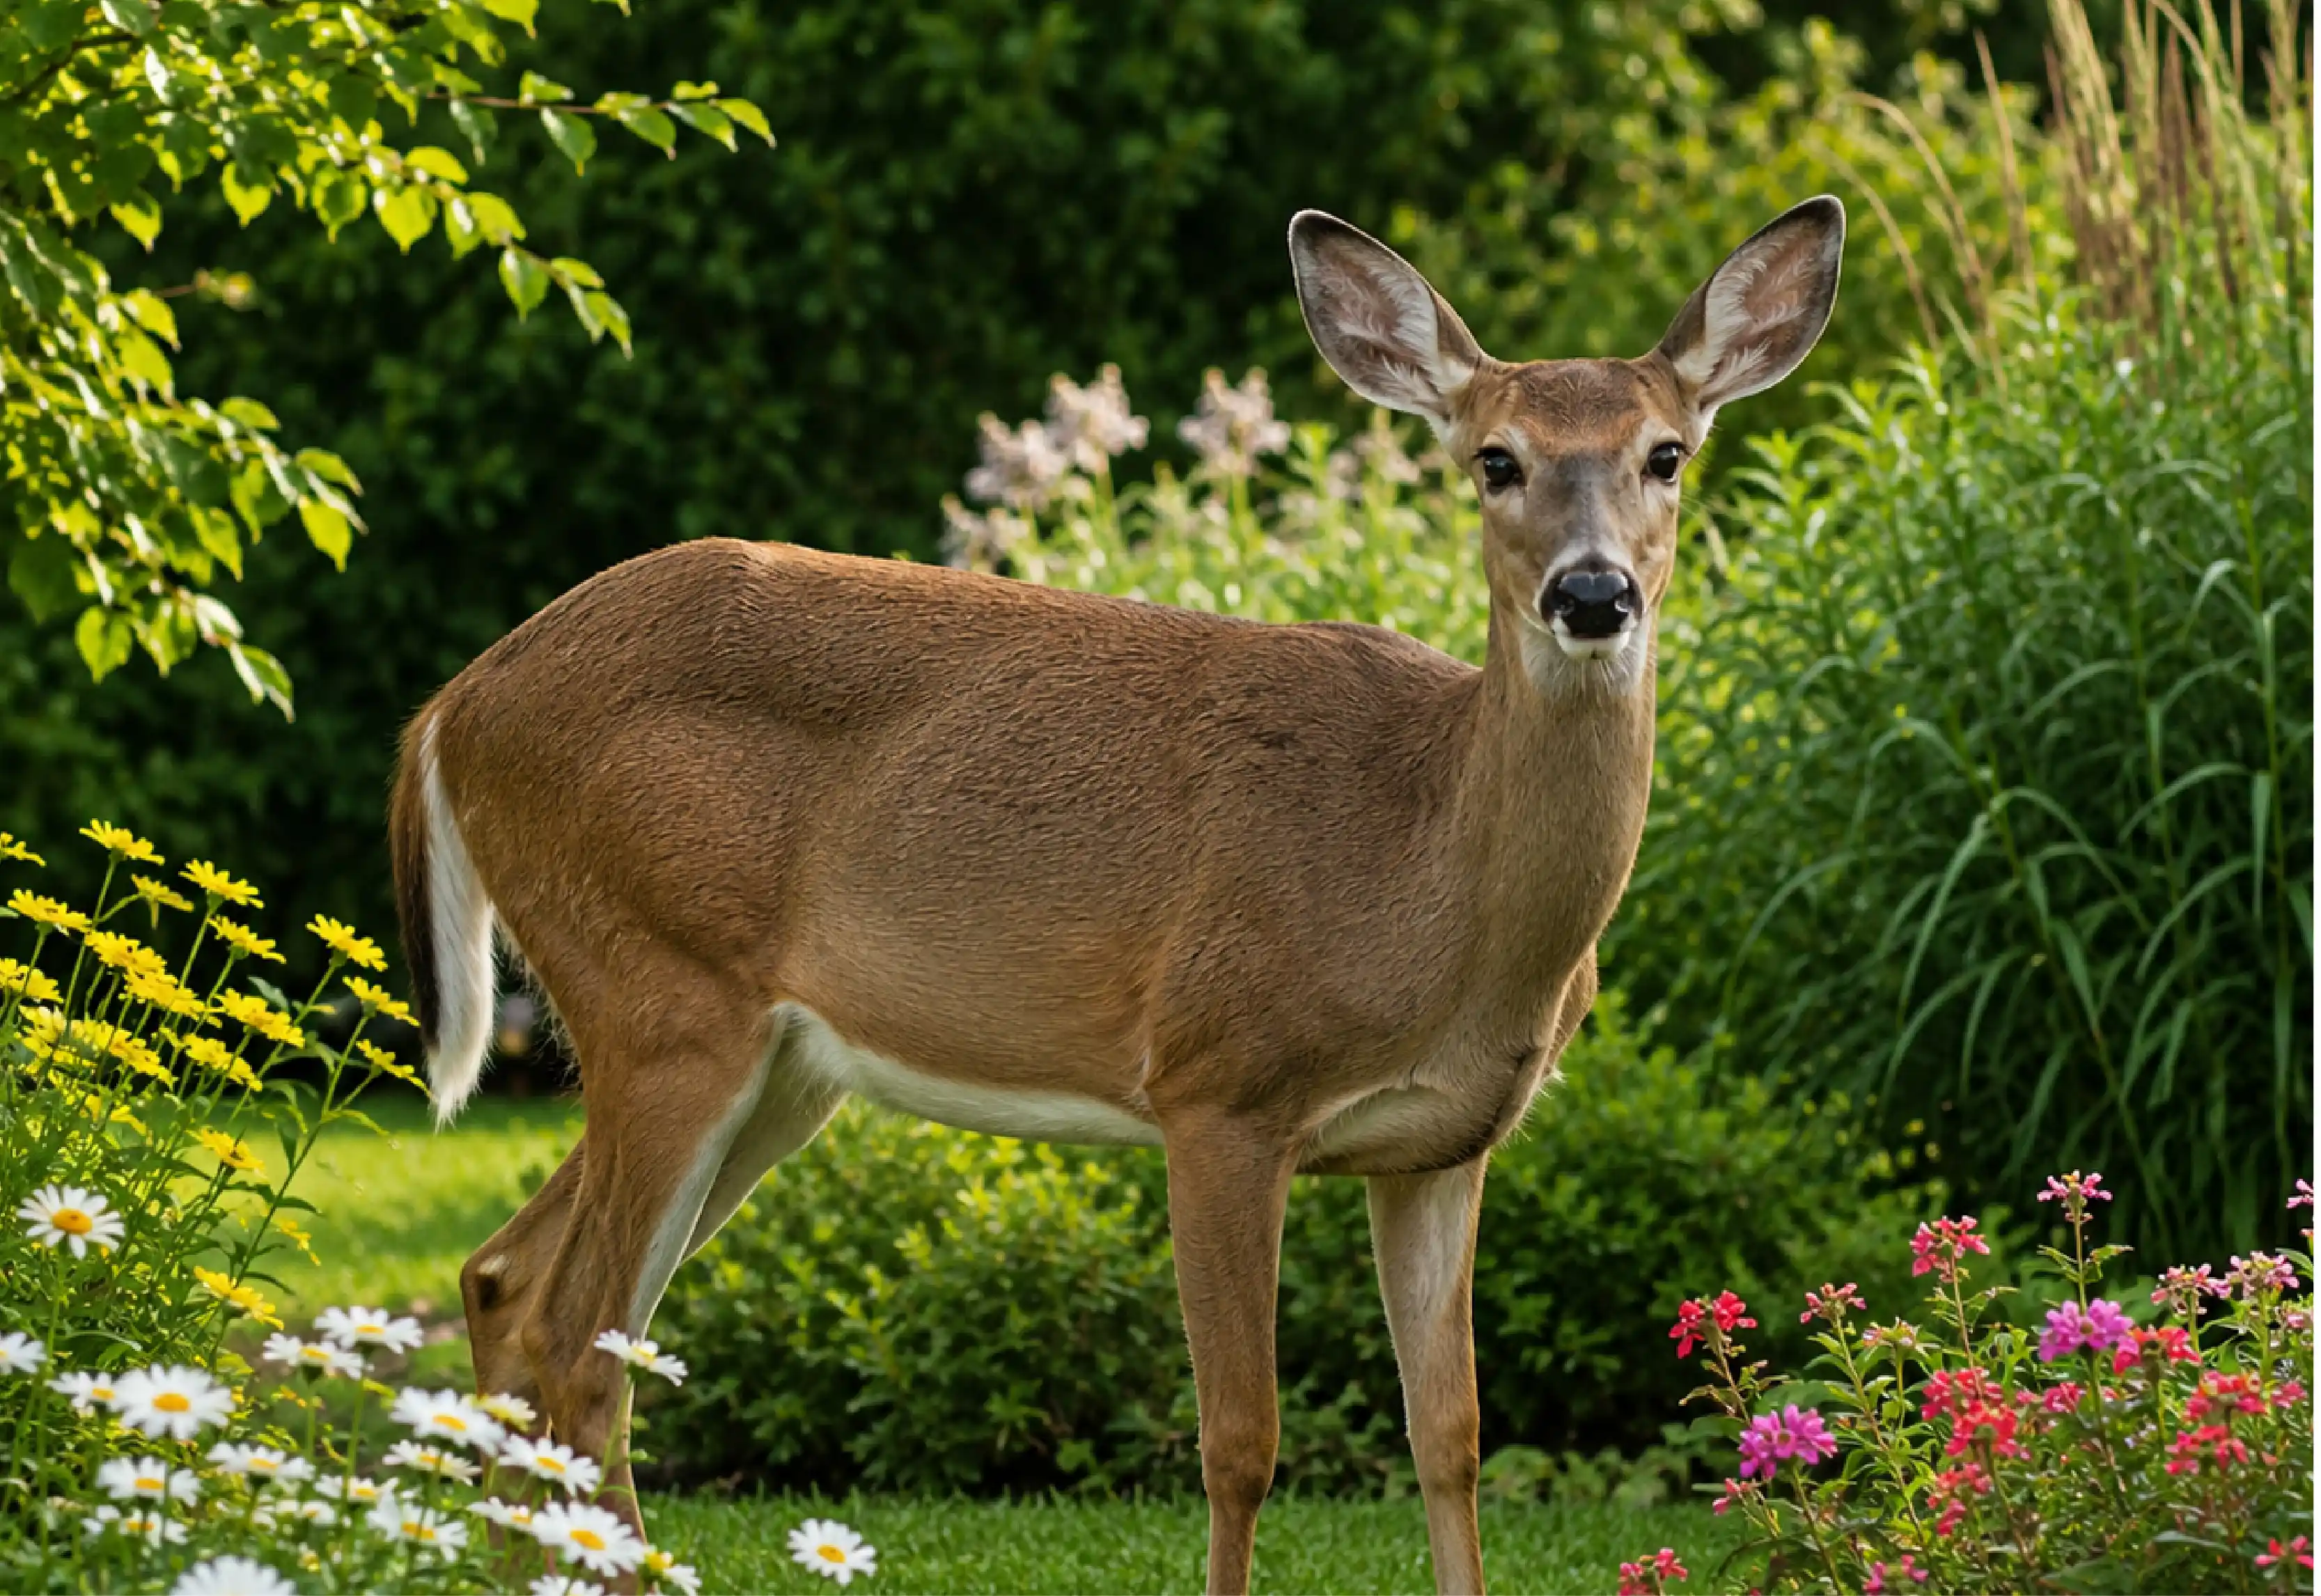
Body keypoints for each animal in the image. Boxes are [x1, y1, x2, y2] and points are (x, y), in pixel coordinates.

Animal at [390, 195, 1843, 1594]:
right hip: (659, 986)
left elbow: (1450, 1435)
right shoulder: (1217, 1082)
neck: (1431, 870)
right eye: (1494, 459)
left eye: (1666, 453)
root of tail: (453, 704)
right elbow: (1241, 1442)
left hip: (774, 1060)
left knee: (509, 1284)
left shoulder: (1442, 1143)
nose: (1590, 592)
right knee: (578, 1339)